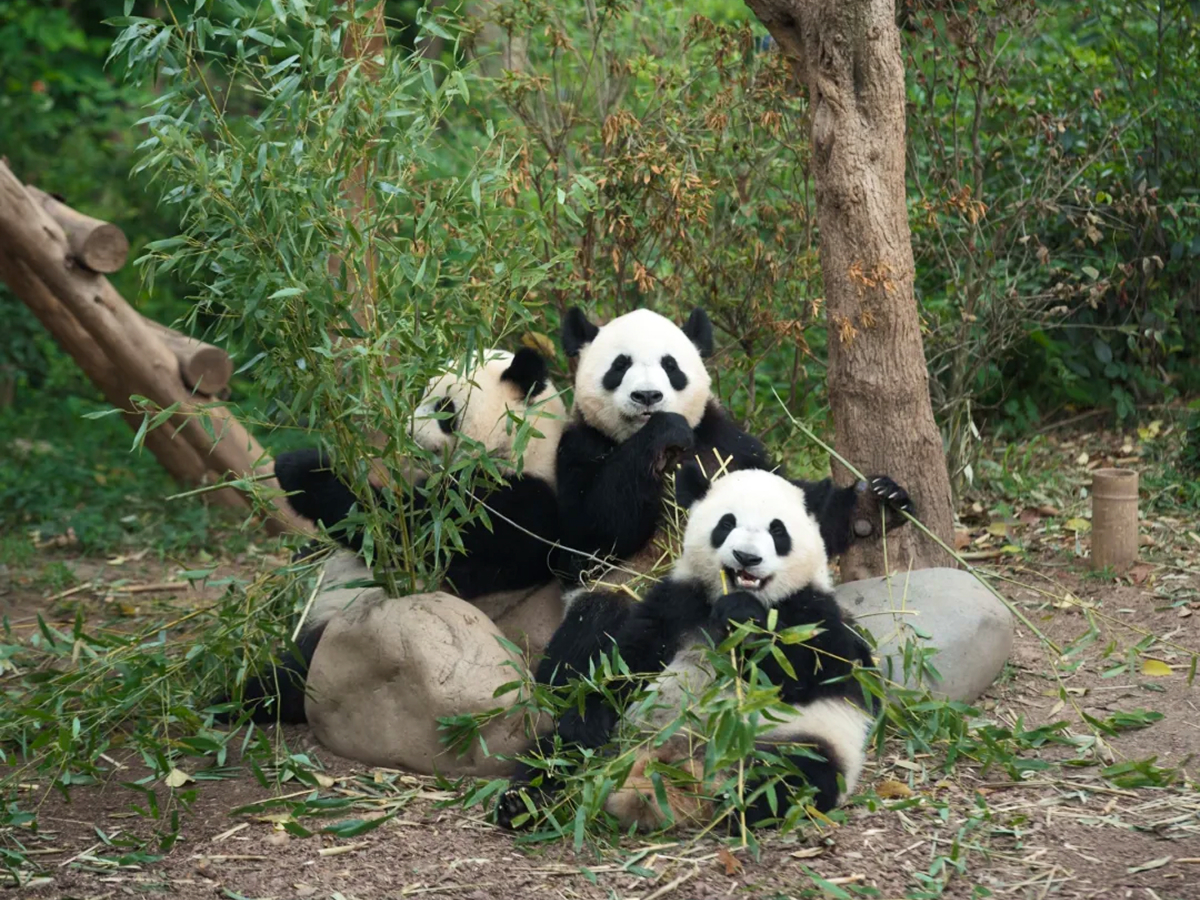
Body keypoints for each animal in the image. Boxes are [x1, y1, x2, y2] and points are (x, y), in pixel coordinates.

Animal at [230, 346, 567, 724]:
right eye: (421, 394)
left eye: (445, 407)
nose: (405, 431)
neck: (522, 446)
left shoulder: (513, 506)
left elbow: (401, 533)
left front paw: (302, 469)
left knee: (295, 674)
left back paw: (240, 697)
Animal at [498, 465, 879, 831]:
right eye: (727, 523)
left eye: (778, 531)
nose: (746, 557)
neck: (730, 595)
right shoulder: (676, 602)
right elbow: (625, 663)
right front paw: (590, 713)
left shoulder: (813, 613)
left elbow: (808, 671)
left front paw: (745, 619)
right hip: (614, 739)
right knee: (557, 752)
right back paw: (523, 802)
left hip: (797, 739)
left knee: (796, 777)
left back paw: (737, 804)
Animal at [538, 305, 912, 702]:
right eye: (620, 365)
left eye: (670, 365)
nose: (648, 396)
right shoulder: (579, 446)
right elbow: (587, 536)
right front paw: (664, 430)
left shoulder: (727, 443)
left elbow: (801, 506)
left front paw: (875, 503)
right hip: (621, 590)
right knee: (590, 633)